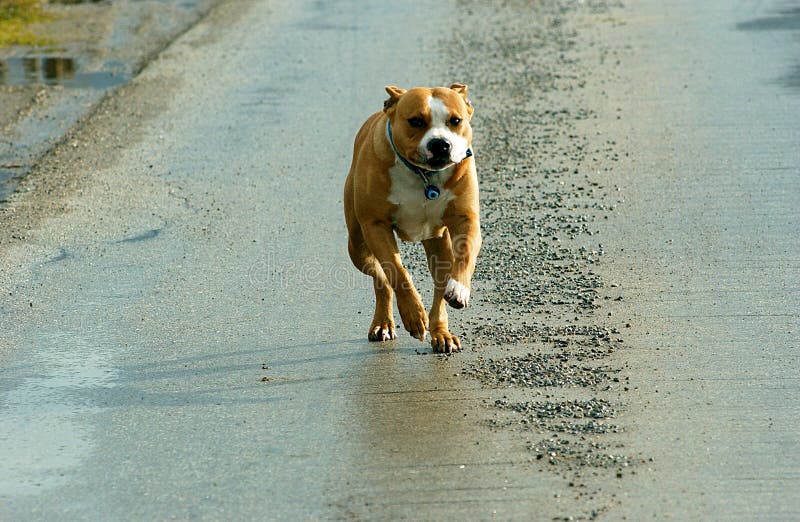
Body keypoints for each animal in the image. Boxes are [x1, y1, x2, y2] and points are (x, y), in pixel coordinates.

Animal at [344, 84, 482, 354]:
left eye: (456, 120)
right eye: (415, 121)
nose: (440, 144)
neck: (424, 176)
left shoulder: (466, 220)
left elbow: (465, 256)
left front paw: (459, 290)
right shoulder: (375, 226)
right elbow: (397, 272)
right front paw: (414, 315)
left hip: (439, 246)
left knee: (440, 287)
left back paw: (442, 334)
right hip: (357, 245)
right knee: (382, 279)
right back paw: (383, 324)